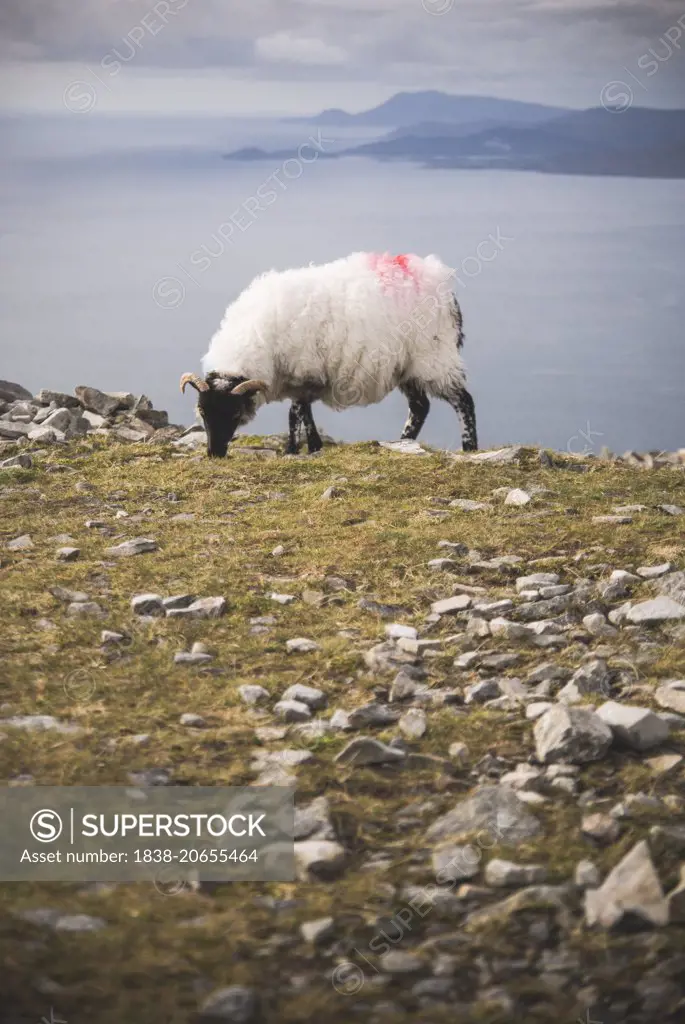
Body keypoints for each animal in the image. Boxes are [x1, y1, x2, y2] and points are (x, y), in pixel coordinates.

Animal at [179, 251, 479, 456]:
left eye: (233, 414)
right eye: (203, 411)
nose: (215, 453)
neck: (258, 340)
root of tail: (443, 286)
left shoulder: (303, 371)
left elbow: (298, 411)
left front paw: (305, 447)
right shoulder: (299, 378)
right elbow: (298, 414)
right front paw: (300, 447)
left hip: (434, 357)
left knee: (463, 402)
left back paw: (470, 447)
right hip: (408, 365)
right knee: (419, 407)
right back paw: (404, 441)